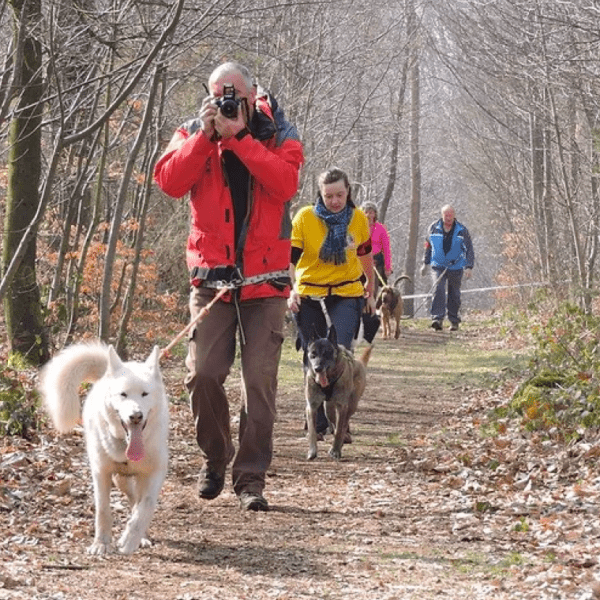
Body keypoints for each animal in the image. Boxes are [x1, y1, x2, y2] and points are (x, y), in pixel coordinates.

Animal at [40, 344, 168, 556]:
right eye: (123, 394)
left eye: (145, 394)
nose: (135, 416)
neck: (125, 446)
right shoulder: (101, 473)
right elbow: (103, 509)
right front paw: (101, 543)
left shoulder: (156, 472)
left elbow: (146, 506)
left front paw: (130, 539)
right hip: (120, 479)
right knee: (131, 496)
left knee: (138, 501)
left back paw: (141, 536)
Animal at [308, 324, 372, 460]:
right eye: (313, 354)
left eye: (327, 353)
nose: (317, 368)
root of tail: (359, 363)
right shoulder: (312, 406)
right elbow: (312, 431)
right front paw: (312, 451)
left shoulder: (342, 406)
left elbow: (339, 430)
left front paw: (335, 451)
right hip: (328, 407)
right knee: (332, 420)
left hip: (351, 405)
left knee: (343, 424)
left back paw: (343, 438)